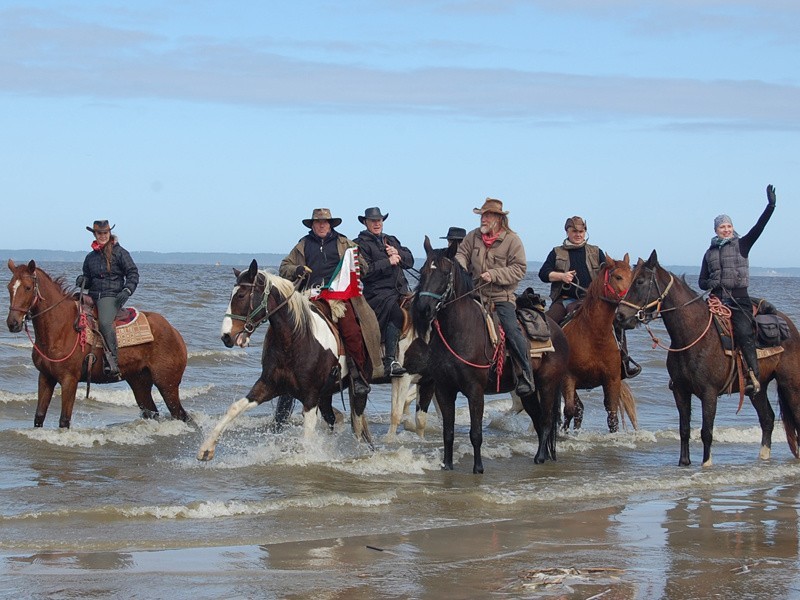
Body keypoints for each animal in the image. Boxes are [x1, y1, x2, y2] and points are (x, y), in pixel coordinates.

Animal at [5, 260, 189, 428]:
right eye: (9, 287)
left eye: (28, 287)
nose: (13, 323)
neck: (61, 329)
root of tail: (174, 332)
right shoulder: (45, 377)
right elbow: (39, 417)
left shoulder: (69, 380)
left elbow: (64, 420)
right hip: (139, 383)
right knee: (152, 413)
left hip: (167, 384)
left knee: (180, 414)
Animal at [197, 260, 372, 462]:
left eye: (241, 295)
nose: (226, 336)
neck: (295, 340)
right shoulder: (269, 385)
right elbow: (235, 408)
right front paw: (207, 448)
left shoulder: (310, 397)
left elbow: (308, 434)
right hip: (325, 396)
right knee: (332, 420)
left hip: (354, 393)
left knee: (357, 424)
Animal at [410, 238, 572, 474]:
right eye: (422, 271)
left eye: (445, 272)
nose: (424, 309)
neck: (459, 331)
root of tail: (557, 330)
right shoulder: (444, 390)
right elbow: (448, 432)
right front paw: (447, 465)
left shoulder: (475, 391)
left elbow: (476, 433)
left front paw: (478, 469)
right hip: (528, 392)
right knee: (537, 418)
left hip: (548, 384)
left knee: (546, 421)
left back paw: (540, 457)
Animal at [556, 252, 636, 432]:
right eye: (618, 277)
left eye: (633, 277)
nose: (632, 314)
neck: (595, 336)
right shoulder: (567, 378)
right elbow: (569, 410)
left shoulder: (612, 379)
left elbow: (612, 416)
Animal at [612, 251, 800, 466]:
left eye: (640, 281)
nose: (620, 316)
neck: (693, 334)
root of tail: (790, 326)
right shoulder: (680, 391)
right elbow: (684, 429)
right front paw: (684, 462)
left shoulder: (709, 393)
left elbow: (706, 431)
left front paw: (706, 464)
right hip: (757, 389)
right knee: (767, 419)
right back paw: (763, 457)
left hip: (790, 384)